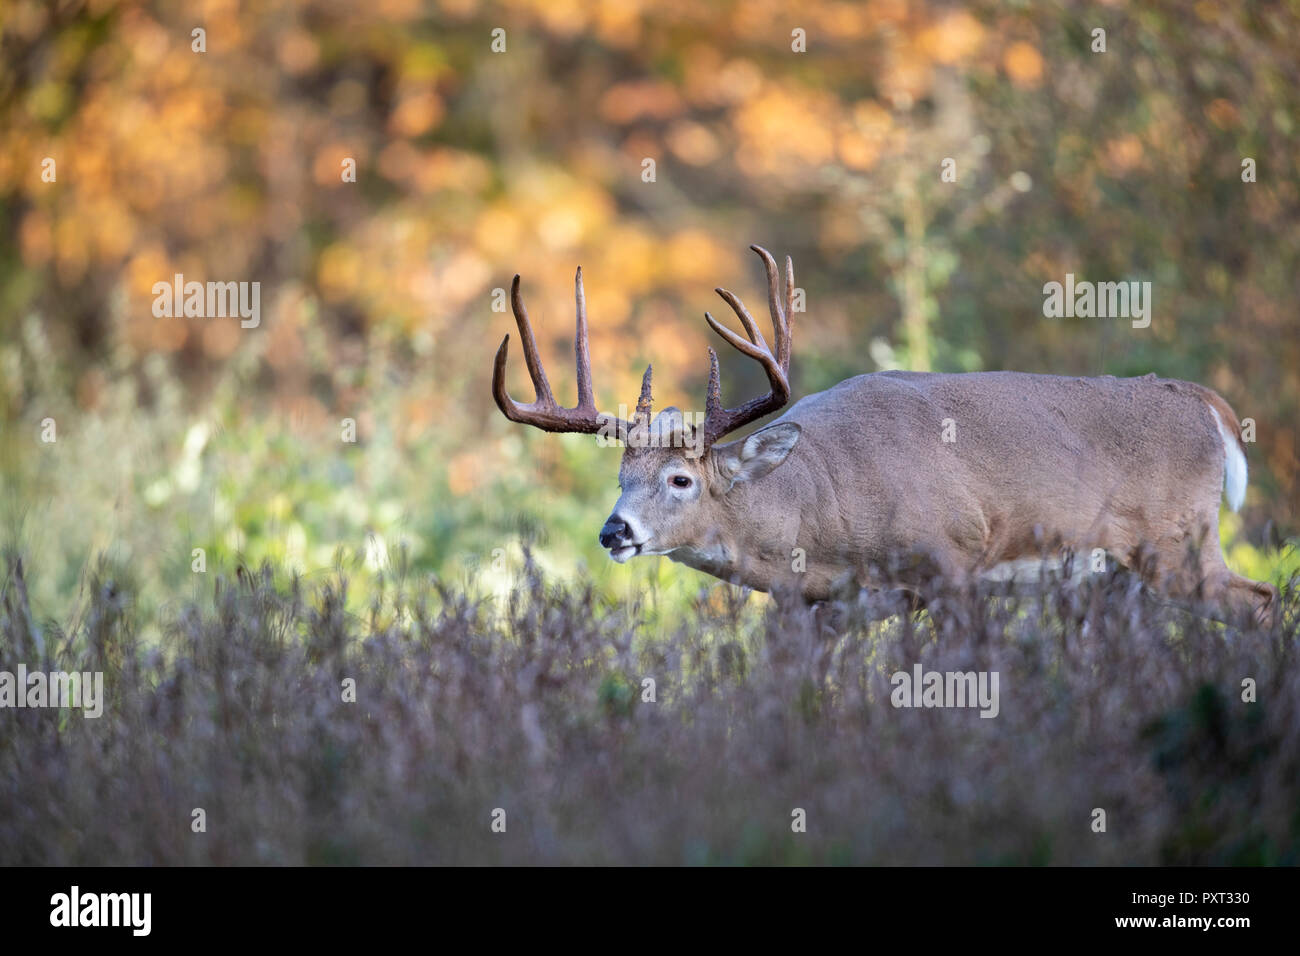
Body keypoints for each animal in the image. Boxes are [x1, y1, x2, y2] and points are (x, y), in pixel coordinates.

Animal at [491, 243, 1274, 624]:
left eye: (680, 478)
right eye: (621, 478)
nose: (613, 531)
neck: (827, 513)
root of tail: (1206, 403)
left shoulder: (955, 562)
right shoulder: (820, 610)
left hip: (1176, 544)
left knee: (1260, 602)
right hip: (1123, 578)